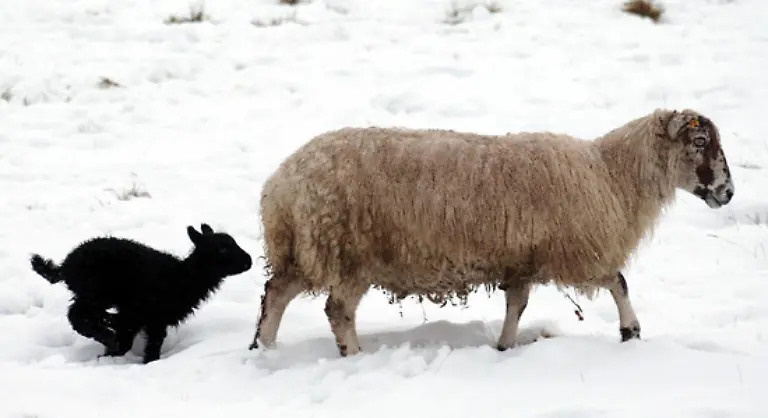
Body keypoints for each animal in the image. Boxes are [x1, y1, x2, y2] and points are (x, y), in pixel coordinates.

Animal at [30, 223, 253, 363]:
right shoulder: (151, 318)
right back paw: (106, 334)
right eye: (222, 250)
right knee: (77, 315)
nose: (248, 261)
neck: (183, 277)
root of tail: (65, 265)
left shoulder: (142, 319)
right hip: (95, 292)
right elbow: (149, 346)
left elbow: (127, 341)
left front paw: (107, 355)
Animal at [248, 108, 735, 356]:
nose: (728, 192)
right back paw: (353, 355)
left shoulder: (523, 257)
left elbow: (516, 305)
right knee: (336, 310)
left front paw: (504, 346)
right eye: (699, 142)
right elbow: (619, 282)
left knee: (276, 293)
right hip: (347, 251)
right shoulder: (581, 249)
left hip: (302, 248)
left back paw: (264, 349)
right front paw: (631, 331)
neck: (611, 174)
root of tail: (282, 184)